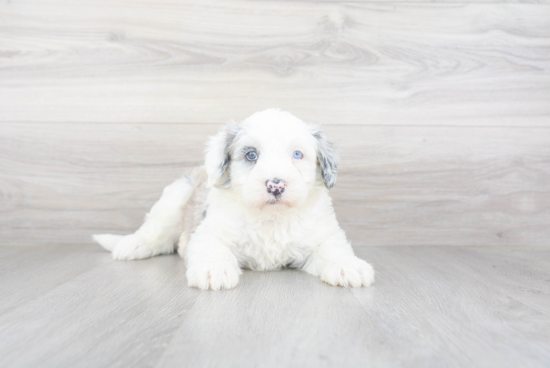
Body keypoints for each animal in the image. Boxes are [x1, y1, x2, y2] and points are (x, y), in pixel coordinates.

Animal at [96, 108, 380, 290]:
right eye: (251, 155)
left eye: (297, 154)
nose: (275, 185)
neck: (271, 217)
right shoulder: (209, 231)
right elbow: (213, 247)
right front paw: (214, 270)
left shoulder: (322, 233)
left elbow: (333, 248)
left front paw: (347, 267)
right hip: (174, 198)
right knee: (154, 232)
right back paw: (131, 246)